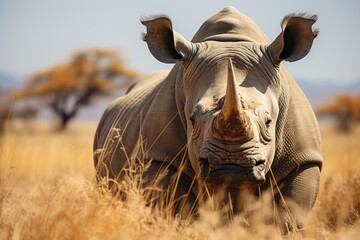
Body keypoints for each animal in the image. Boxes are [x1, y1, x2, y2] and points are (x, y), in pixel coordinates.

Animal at [94, 6, 322, 230]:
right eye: (192, 120)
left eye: (268, 122)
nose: (231, 167)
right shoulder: (159, 154)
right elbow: (176, 211)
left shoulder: (303, 158)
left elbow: (286, 217)